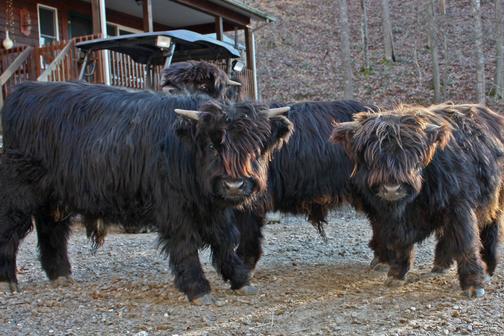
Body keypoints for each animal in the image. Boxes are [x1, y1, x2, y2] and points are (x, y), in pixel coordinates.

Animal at [0, 80, 292, 304]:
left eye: (254, 148)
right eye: (212, 145)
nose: (234, 185)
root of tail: (23, 91)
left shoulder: (214, 208)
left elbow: (224, 239)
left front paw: (240, 279)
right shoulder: (174, 209)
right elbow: (185, 245)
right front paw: (198, 289)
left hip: (54, 195)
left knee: (52, 229)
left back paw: (60, 275)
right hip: (19, 190)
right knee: (11, 229)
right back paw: (7, 281)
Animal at [330, 103, 504, 298]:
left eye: (412, 153)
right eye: (371, 154)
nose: (392, 188)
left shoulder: (459, 206)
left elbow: (466, 242)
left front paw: (473, 285)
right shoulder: (390, 217)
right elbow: (399, 242)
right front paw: (396, 274)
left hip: (495, 200)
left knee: (491, 229)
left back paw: (488, 269)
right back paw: (440, 265)